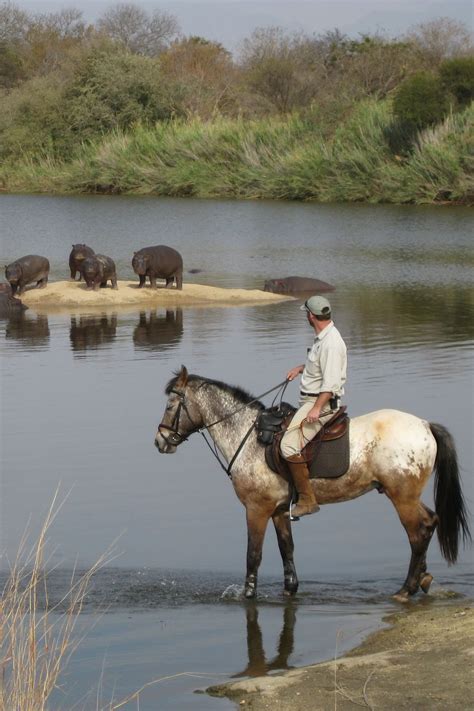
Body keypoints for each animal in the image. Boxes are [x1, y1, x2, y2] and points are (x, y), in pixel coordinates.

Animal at [156, 368, 470, 600]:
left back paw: (406, 589)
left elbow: (253, 555)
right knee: (430, 522)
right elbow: (287, 548)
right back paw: (423, 580)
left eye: (171, 405)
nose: (160, 441)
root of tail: (424, 425)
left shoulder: (257, 509)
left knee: (418, 533)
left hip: (401, 497)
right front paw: (290, 589)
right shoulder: (279, 510)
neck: (248, 438)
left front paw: (248, 595)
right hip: (408, 495)